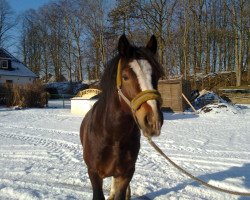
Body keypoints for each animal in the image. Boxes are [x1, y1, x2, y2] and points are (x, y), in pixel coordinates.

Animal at [80, 35, 164, 199]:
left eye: (156, 76)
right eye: (125, 77)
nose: (153, 121)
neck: (113, 136)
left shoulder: (126, 173)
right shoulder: (94, 174)